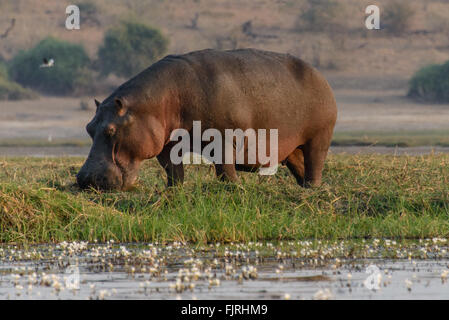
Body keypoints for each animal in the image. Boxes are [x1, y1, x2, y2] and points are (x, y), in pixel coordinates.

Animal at [77, 47, 336, 190]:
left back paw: (313, 189)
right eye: (89, 127)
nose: (86, 179)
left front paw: (234, 189)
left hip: (319, 138)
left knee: (315, 165)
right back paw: (305, 189)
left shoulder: (225, 139)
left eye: (111, 130)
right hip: (292, 148)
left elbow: (225, 170)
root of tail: (319, 74)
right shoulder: (166, 144)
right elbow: (173, 170)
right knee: (301, 167)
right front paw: (173, 190)